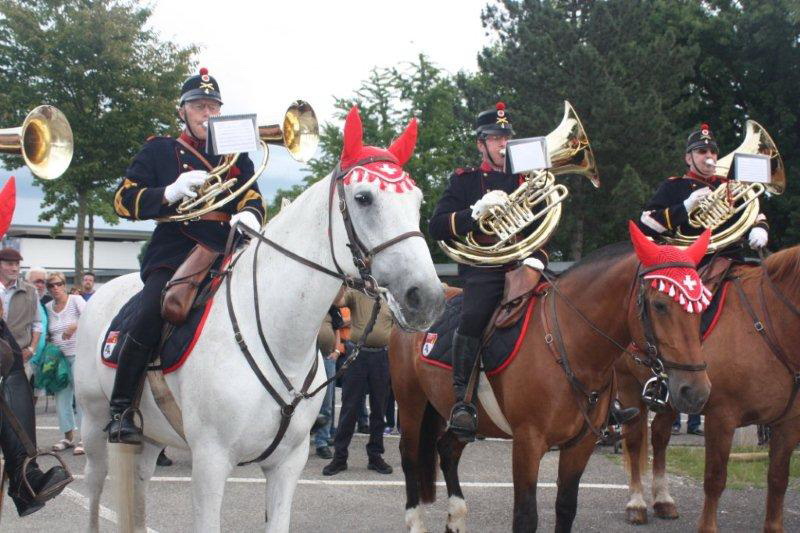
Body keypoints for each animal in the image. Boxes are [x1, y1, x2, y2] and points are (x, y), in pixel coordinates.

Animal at [73, 107, 446, 533]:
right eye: (364, 198)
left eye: (418, 200)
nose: (428, 298)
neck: (278, 333)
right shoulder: (210, 463)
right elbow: (129, 193)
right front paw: (187, 186)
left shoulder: (287, 465)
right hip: (95, 426)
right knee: (94, 488)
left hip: (150, 437)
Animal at [389, 222, 713, 533]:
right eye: (660, 304)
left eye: (702, 307)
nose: (696, 392)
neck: (570, 344)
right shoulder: (528, 443)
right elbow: (525, 517)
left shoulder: (580, 445)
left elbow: (566, 508)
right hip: (410, 403)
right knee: (409, 455)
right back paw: (415, 522)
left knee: (447, 450)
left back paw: (456, 518)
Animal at [616, 245, 800, 533]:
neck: (769, 324)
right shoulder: (721, 418)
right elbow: (715, 478)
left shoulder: (788, 424)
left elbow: (778, 480)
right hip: (628, 386)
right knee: (635, 441)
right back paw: (637, 504)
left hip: (677, 397)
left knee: (659, 437)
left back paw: (663, 499)